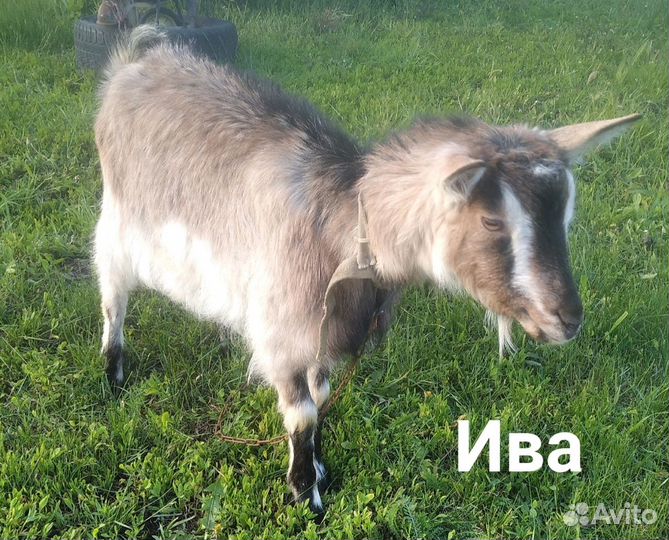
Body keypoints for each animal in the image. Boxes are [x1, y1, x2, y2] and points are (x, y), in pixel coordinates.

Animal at [93, 28, 639, 514]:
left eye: (566, 216)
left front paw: (319, 471)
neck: (339, 225)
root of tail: (133, 64)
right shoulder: (282, 333)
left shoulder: (328, 331)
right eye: (491, 220)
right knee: (112, 294)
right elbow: (302, 416)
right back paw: (113, 371)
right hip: (118, 223)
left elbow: (322, 396)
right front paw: (306, 496)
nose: (567, 319)